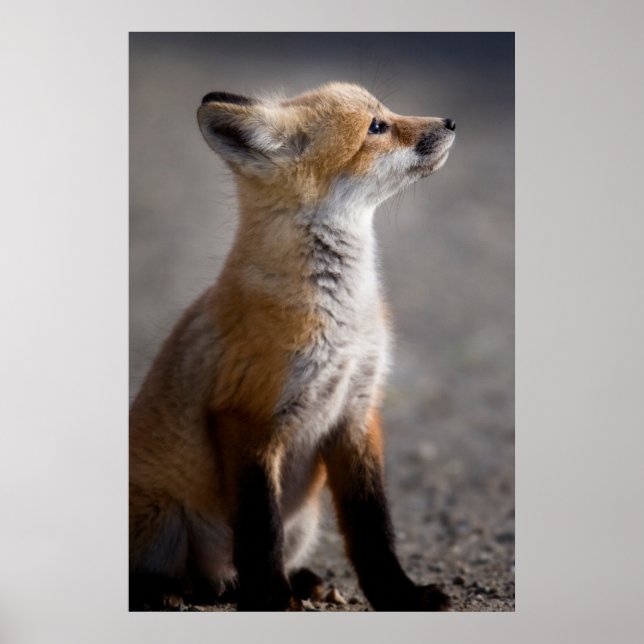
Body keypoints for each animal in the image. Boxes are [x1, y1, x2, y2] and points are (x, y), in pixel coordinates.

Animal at [129, 82, 456, 611]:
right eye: (376, 127)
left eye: (385, 111)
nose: (450, 122)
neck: (341, 321)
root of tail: (212, 577)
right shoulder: (247, 414)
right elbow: (260, 530)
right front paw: (270, 599)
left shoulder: (358, 409)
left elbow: (373, 527)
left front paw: (400, 594)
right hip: (164, 523)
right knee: (163, 574)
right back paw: (175, 591)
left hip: (305, 520)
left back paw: (294, 580)